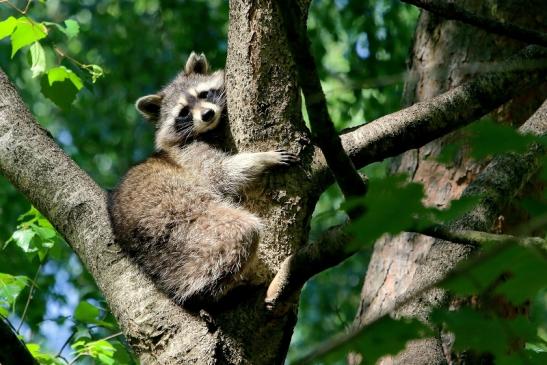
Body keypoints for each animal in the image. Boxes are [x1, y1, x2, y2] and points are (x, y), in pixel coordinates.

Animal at [108, 53, 298, 304]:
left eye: (203, 94)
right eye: (184, 112)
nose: (208, 114)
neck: (209, 131)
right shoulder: (188, 153)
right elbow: (218, 174)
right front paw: (261, 158)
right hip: (183, 223)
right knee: (243, 231)